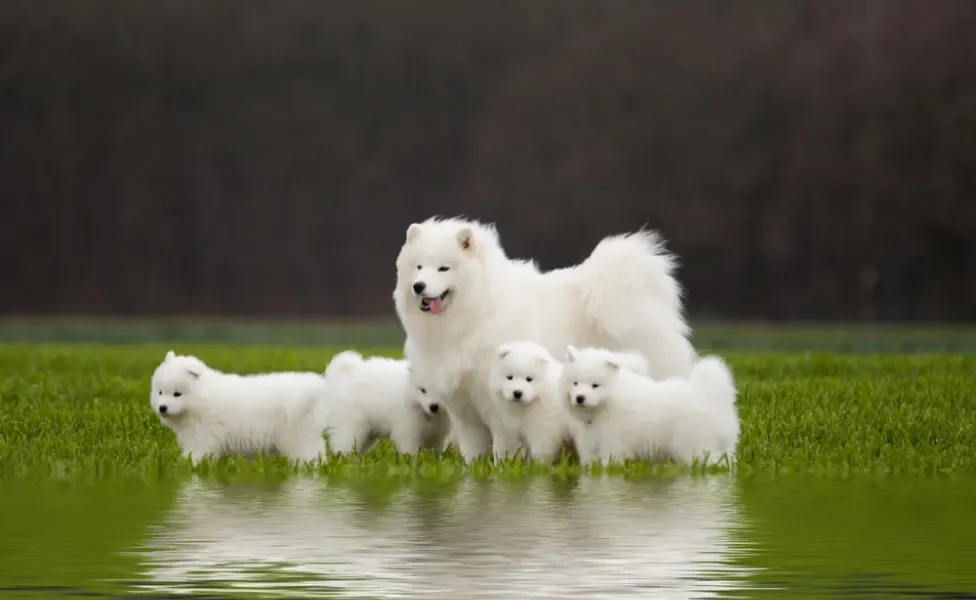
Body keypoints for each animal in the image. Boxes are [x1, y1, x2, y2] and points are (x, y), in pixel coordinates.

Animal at [150, 352, 328, 464]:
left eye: (177, 394)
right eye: (160, 392)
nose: (162, 407)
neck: (201, 400)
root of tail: (314, 388)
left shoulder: (204, 435)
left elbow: (198, 453)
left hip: (297, 437)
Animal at [324, 350, 454, 452]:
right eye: (423, 390)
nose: (433, 406)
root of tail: (344, 374)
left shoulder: (438, 436)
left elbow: (436, 451)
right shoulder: (407, 429)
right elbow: (410, 450)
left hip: (369, 432)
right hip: (352, 424)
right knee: (344, 444)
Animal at [390, 218, 692, 462]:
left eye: (443, 268)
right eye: (419, 267)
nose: (418, 286)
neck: (476, 312)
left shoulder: (500, 402)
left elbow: (504, 445)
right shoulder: (464, 405)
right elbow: (472, 449)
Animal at [564, 346, 740, 464]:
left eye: (595, 385)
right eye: (575, 383)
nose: (580, 398)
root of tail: (710, 398)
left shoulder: (614, 442)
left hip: (695, 444)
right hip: (722, 445)